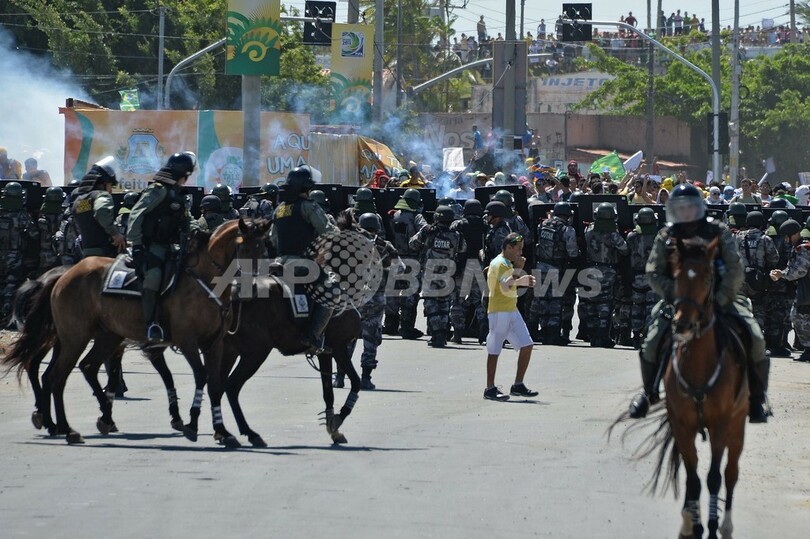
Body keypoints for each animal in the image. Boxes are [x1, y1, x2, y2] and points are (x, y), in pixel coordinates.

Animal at [2, 218, 270, 446]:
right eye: (245, 249)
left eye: (264, 249)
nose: (254, 285)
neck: (202, 282)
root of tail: (63, 276)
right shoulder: (186, 342)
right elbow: (196, 376)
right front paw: (191, 422)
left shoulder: (214, 344)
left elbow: (214, 384)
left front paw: (223, 432)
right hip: (73, 339)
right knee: (56, 376)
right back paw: (67, 429)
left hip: (105, 337)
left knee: (82, 367)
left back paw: (84, 419)